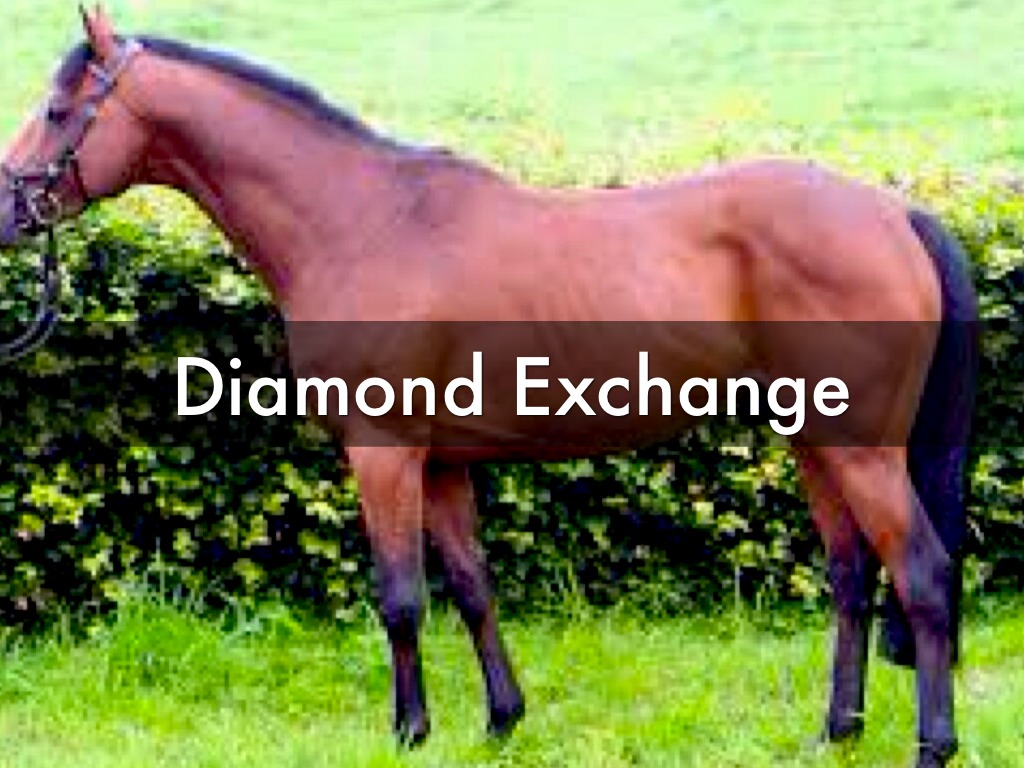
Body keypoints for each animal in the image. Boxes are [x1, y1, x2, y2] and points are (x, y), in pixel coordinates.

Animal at [0, 9, 976, 767]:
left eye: (56, 110)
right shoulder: (441, 463)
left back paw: (931, 744)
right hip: (815, 439)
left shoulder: (384, 455)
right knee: (851, 575)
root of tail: (892, 211)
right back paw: (836, 732)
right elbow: (471, 585)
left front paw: (409, 731)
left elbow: (401, 596)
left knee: (922, 572)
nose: (9, 210)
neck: (365, 222)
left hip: (861, 448)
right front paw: (503, 720)